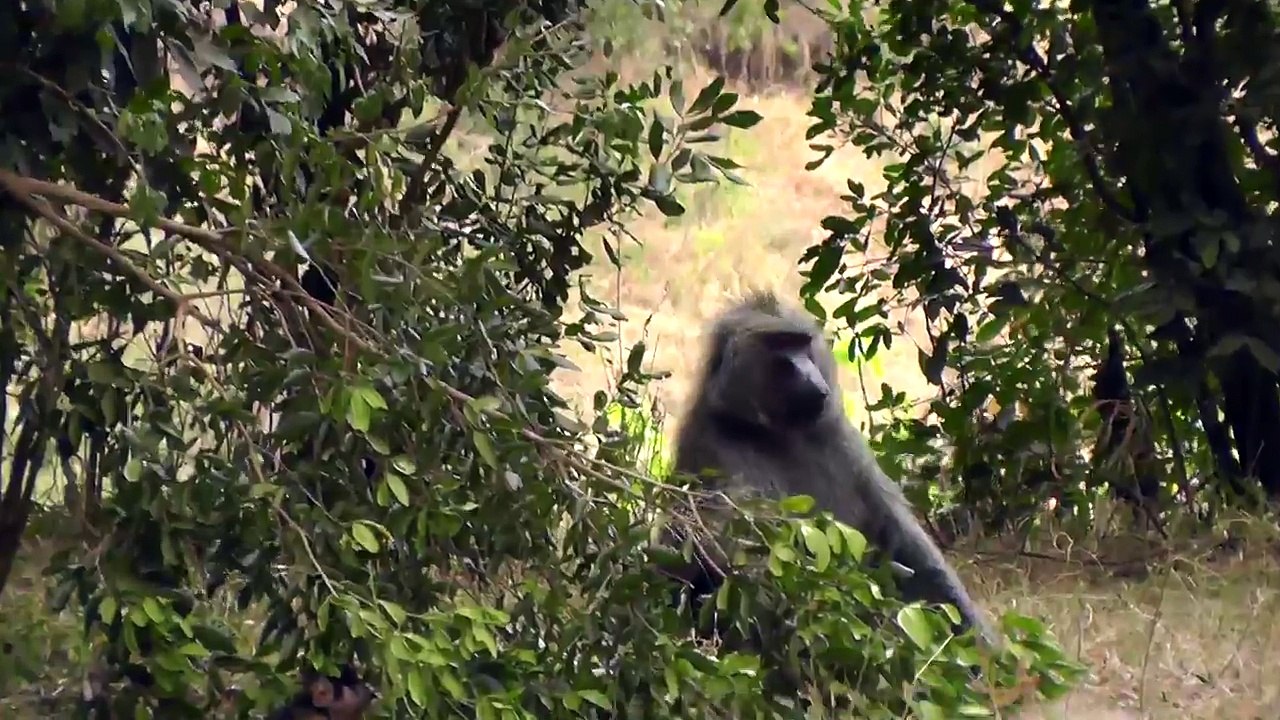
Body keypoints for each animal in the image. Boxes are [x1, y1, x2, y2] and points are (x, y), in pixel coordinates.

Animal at [665, 291, 998, 648]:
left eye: (802, 344)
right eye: (779, 344)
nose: (812, 378)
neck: (778, 433)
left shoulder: (841, 441)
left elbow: (903, 541)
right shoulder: (717, 450)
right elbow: (740, 557)